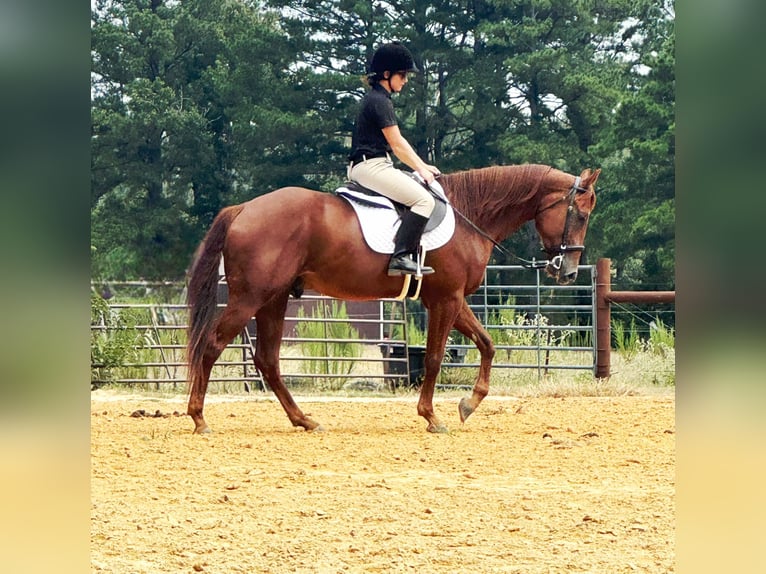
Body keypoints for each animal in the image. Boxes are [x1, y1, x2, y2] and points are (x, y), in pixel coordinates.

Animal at [186, 164, 599, 434]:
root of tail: (244, 209)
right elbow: (433, 359)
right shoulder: (445, 300)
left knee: (268, 361)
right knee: (212, 344)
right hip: (250, 297)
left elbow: (487, 343)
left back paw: (303, 420)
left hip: (274, 299)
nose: (568, 272)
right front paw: (432, 417)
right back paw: (199, 418)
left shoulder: (452, 300)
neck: (470, 216)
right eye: (580, 214)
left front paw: (469, 403)